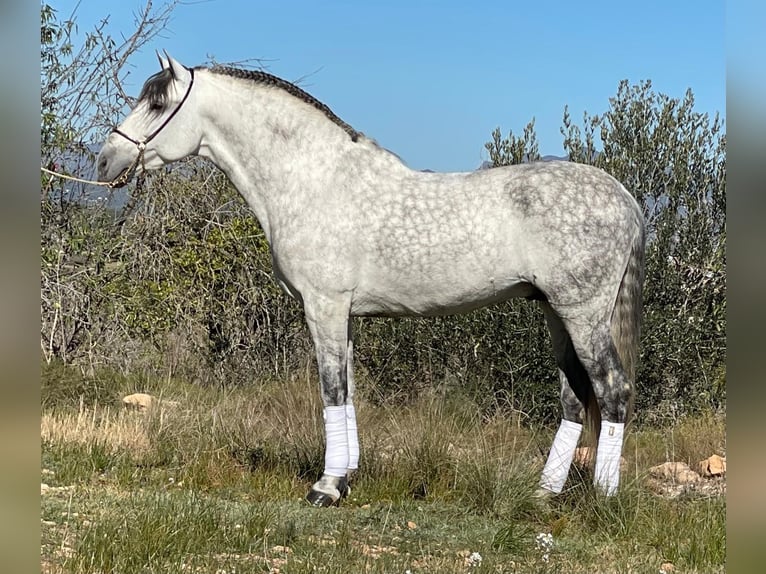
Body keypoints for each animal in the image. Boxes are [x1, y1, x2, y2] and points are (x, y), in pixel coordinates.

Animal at [97, 53, 648, 504]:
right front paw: (344, 478)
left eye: (158, 103)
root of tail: (623, 196)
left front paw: (324, 488)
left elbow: (331, 389)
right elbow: (349, 391)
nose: (106, 161)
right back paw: (543, 493)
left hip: (583, 313)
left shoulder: (323, 306)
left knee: (613, 389)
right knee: (575, 396)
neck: (314, 180)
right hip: (555, 312)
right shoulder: (344, 314)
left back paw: (603, 498)